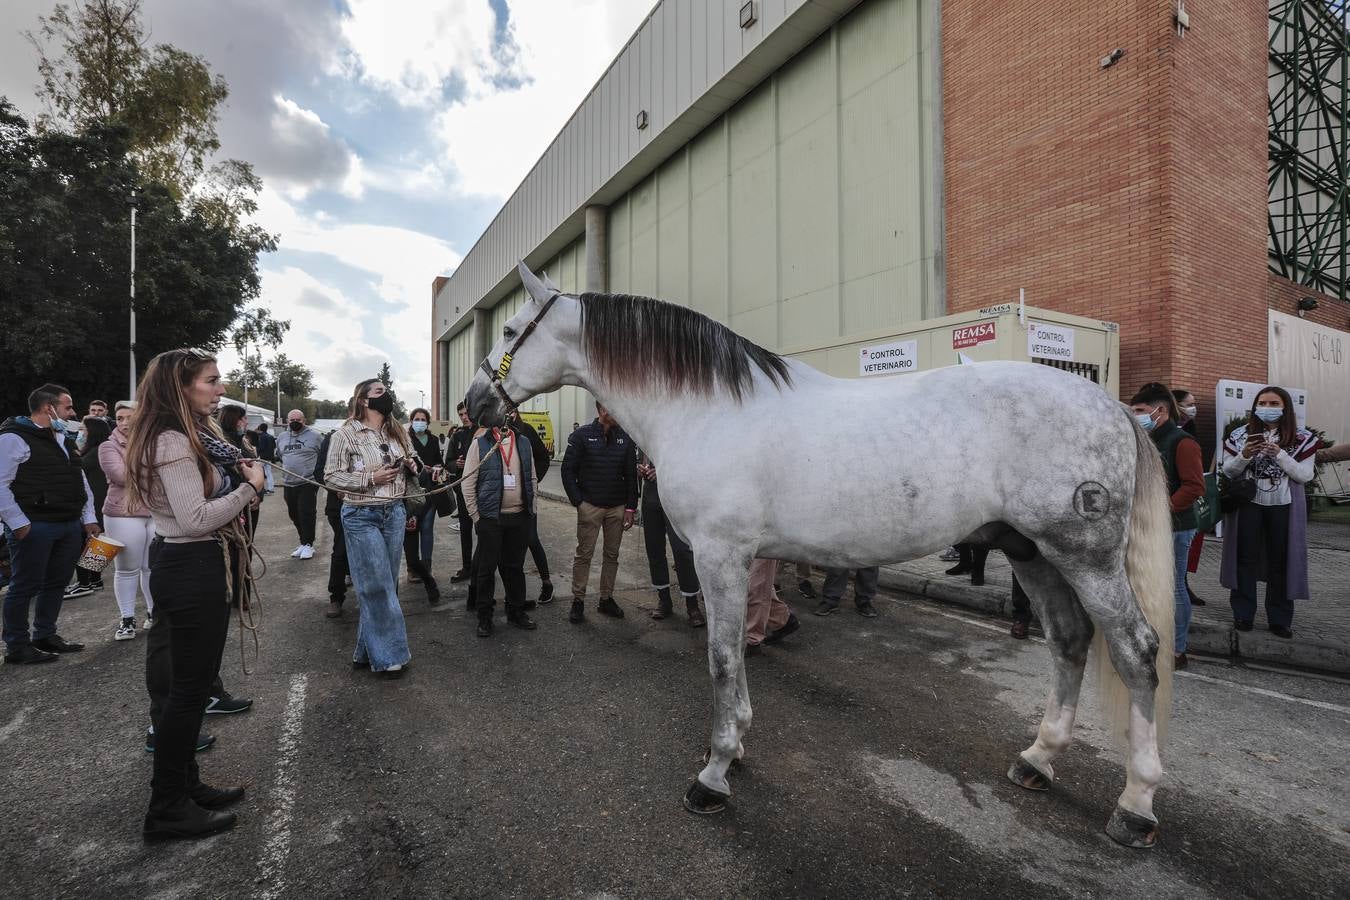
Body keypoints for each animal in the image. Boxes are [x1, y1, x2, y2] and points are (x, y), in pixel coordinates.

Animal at [467, 261, 1171, 852]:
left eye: (510, 329)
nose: (471, 406)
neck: (707, 410)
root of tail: (1110, 405)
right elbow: (736, 652)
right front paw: (736, 744)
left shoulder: (721, 556)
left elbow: (722, 658)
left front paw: (715, 772)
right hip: (1032, 552)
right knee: (1070, 641)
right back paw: (1038, 759)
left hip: (1086, 558)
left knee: (1135, 650)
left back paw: (1136, 806)